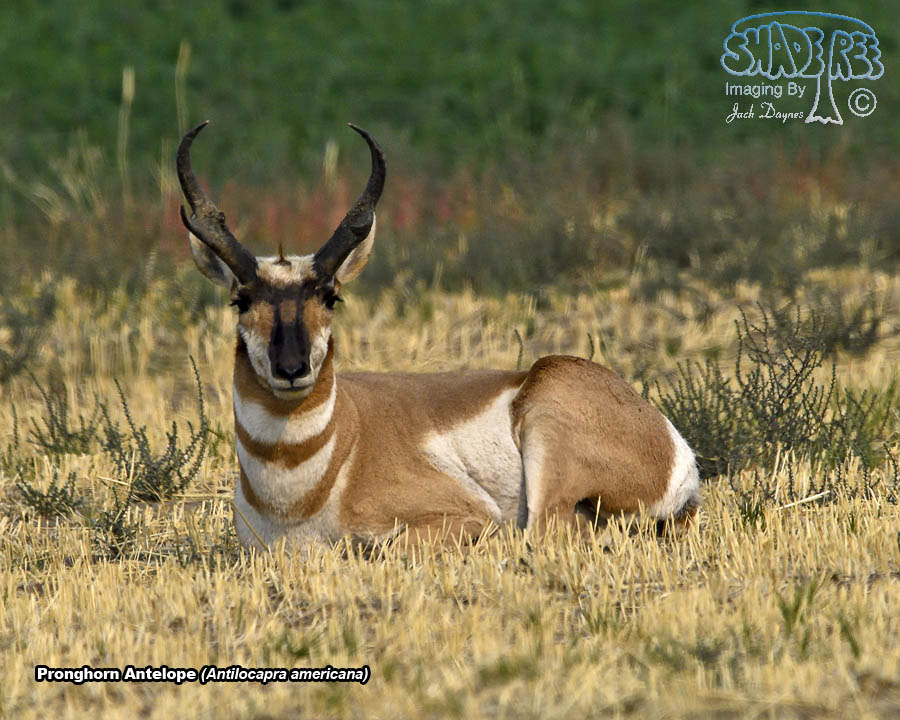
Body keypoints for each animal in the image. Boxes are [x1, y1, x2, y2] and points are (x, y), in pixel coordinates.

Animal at [177, 121, 700, 551]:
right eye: (241, 300)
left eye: (330, 297)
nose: (292, 369)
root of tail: (670, 441)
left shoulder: (460, 517)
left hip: (546, 434)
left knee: (542, 533)